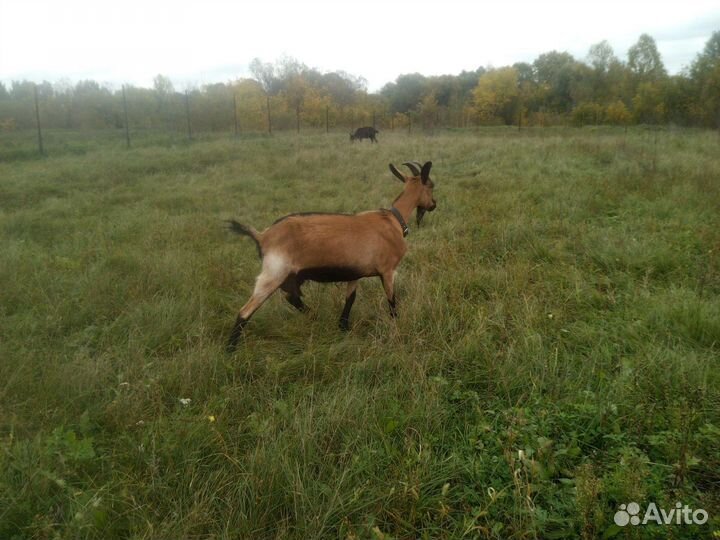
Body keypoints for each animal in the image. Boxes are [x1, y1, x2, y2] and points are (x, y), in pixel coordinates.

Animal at [225, 161, 436, 349]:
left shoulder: (355, 273)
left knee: (291, 297)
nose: (434, 205)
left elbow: (350, 299)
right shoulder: (388, 270)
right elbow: (392, 300)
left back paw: (315, 316)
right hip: (274, 273)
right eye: (431, 186)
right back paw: (230, 349)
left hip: (290, 275)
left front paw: (343, 327)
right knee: (246, 311)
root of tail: (263, 236)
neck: (394, 220)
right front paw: (395, 324)